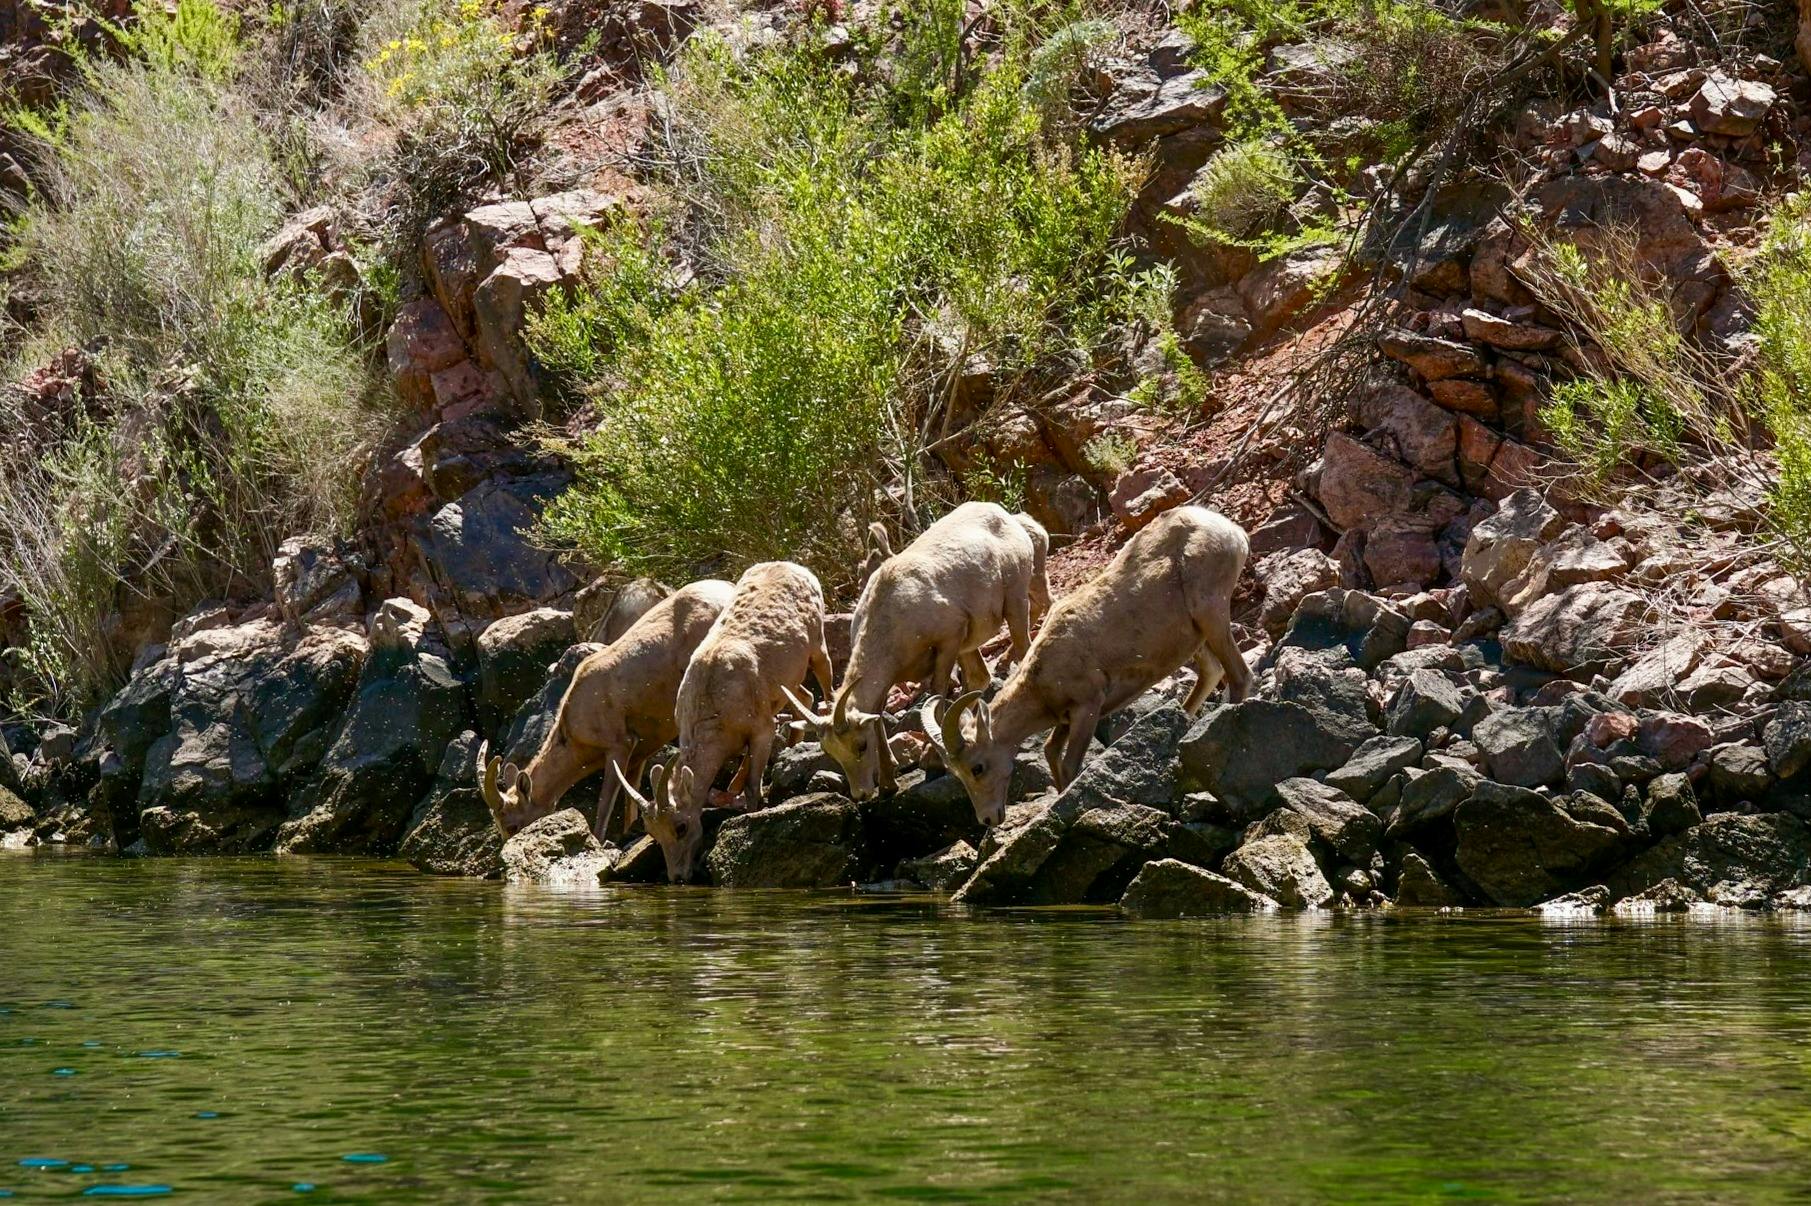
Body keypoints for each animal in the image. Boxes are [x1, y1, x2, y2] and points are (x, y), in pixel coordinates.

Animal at [477, 579, 735, 840]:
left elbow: (604, 806)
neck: (572, 727)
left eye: (512, 825)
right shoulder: (639, 754)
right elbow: (631, 802)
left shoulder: (619, 746)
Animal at [617, 561, 835, 882]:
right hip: (789, 682)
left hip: (818, 647)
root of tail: (794, 566)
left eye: (681, 827)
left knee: (827, 688)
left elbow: (754, 786)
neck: (715, 703)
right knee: (805, 698)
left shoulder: (762, 729)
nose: (677, 877)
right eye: (653, 833)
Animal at [783, 501, 1050, 803]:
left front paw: (932, 761)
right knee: (979, 677)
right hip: (971, 645)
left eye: (861, 746)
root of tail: (1008, 517)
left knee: (1023, 647)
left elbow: (937, 693)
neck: (892, 615)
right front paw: (888, 784)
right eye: (830, 752)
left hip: (1015, 602)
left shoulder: (948, 642)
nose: (861, 794)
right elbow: (879, 717)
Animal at [924, 505, 1251, 827]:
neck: (1041, 675)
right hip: (1196, 639)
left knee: (1240, 676)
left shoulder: (1087, 708)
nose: (988, 818)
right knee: (1212, 671)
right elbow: (1050, 752)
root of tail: (1232, 532)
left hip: (1212, 613)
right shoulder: (1065, 720)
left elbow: (1070, 765)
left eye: (977, 767)